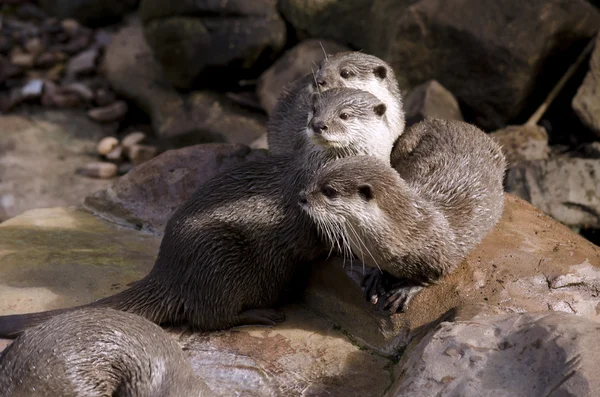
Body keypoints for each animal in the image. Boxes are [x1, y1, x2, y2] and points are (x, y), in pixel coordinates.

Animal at [1, 86, 404, 338]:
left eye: (345, 114)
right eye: (313, 110)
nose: (317, 125)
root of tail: (167, 269)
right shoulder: (308, 208)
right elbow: (321, 240)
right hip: (219, 254)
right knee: (207, 317)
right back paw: (260, 313)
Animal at [300, 118, 506, 312]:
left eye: (329, 191)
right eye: (315, 177)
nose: (302, 197)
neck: (406, 231)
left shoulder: (443, 256)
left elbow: (431, 278)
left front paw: (405, 290)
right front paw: (377, 277)